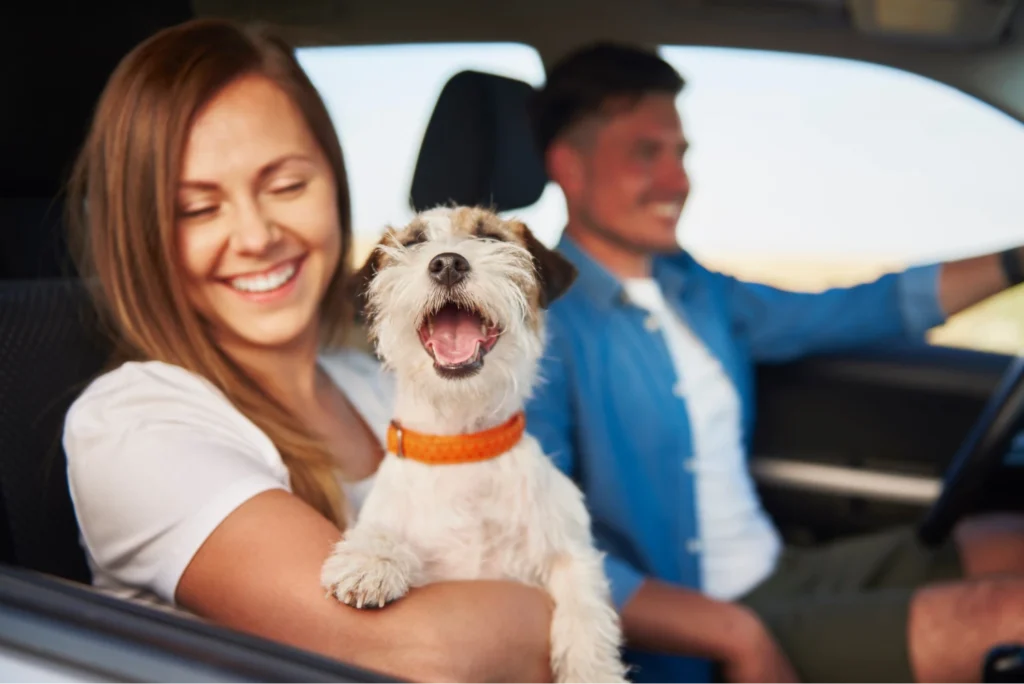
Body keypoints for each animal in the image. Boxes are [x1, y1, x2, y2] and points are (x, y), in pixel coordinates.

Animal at [319, 206, 626, 684]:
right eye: (413, 242)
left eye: (490, 238)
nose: (447, 263)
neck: (461, 446)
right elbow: (384, 528)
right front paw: (372, 560)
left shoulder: (569, 552)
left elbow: (585, 607)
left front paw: (591, 671)